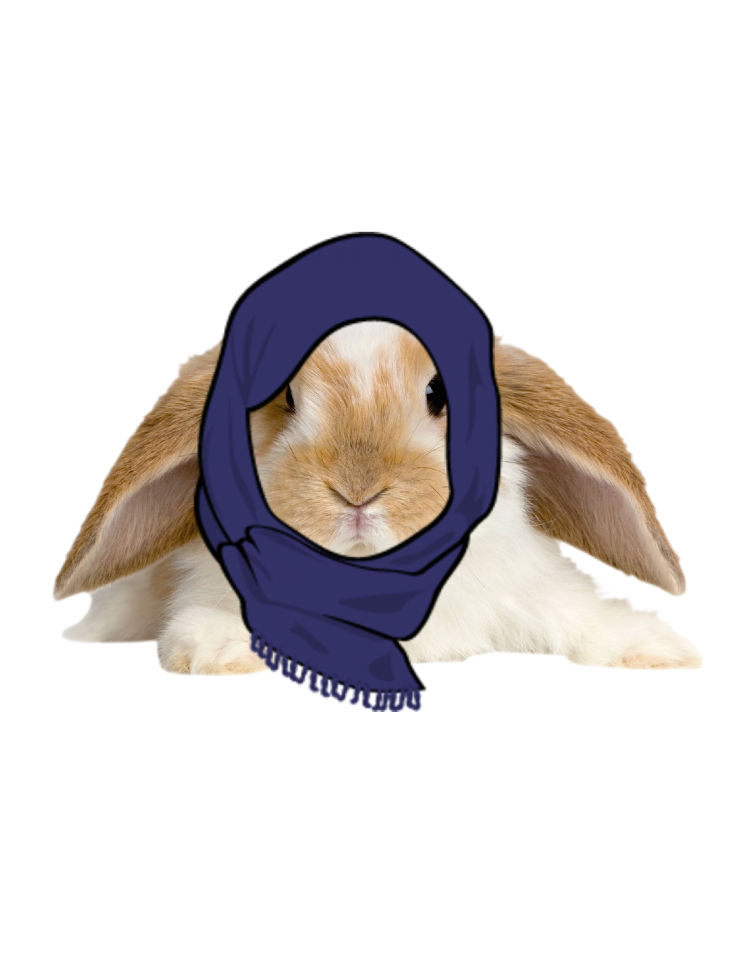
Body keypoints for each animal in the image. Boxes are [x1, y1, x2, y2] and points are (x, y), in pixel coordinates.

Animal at [52, 320, 704, 676]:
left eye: (439, 394)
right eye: (284, 398)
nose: (357, 490)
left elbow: (580, 615)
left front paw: (662, 650)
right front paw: (217, 649)